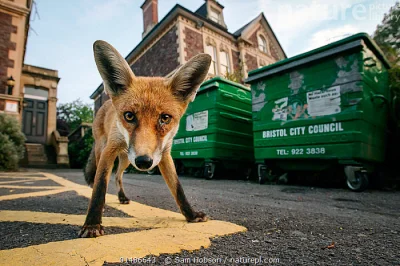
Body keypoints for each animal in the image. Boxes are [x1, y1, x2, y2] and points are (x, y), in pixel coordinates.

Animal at [77, 40, 209, 238]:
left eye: (165, 118)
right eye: (129, 116)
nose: (144, 162)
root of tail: (106, 102)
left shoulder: (164, 154)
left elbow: (178, 188)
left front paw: (191, 215)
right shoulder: (110, 150)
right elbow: (100, 186)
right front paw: (92, 223)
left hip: (126, 159)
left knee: (118, 176)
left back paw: (122, 197)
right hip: (105, 150)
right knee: (103, 177)